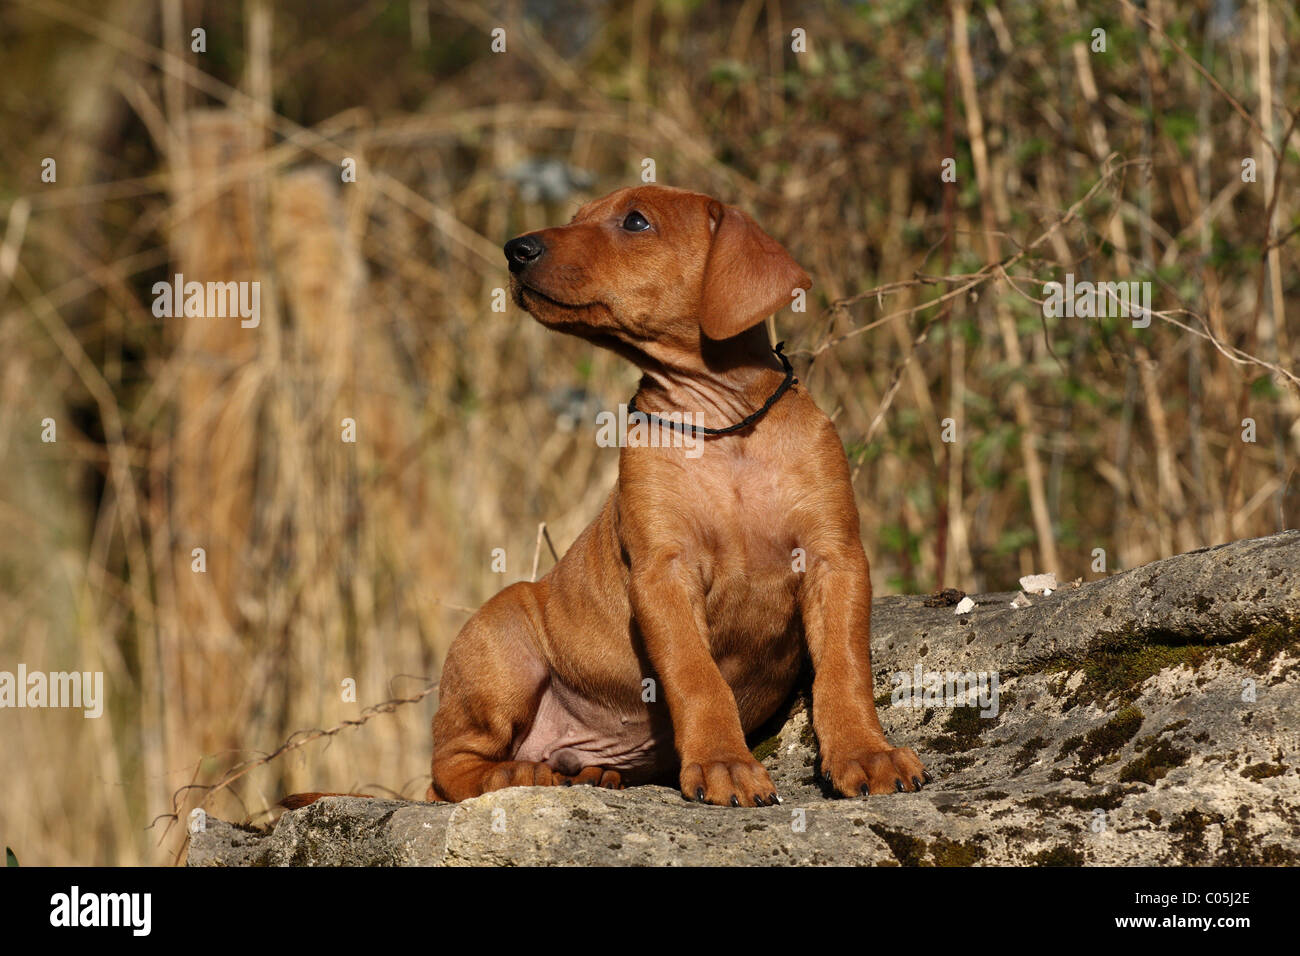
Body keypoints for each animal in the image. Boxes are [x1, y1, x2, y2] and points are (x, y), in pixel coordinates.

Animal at [431, 183, 930, 806]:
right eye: (576, 217)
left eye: (636, 222)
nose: (514, 249)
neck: (724, 426)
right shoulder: (663, 572)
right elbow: (698, 675)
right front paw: (724, 764)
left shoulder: (834, 558)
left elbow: (844, 665)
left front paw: (867, 752)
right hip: (502, 643)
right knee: (449, 768)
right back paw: (516, 774)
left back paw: (593, 774)